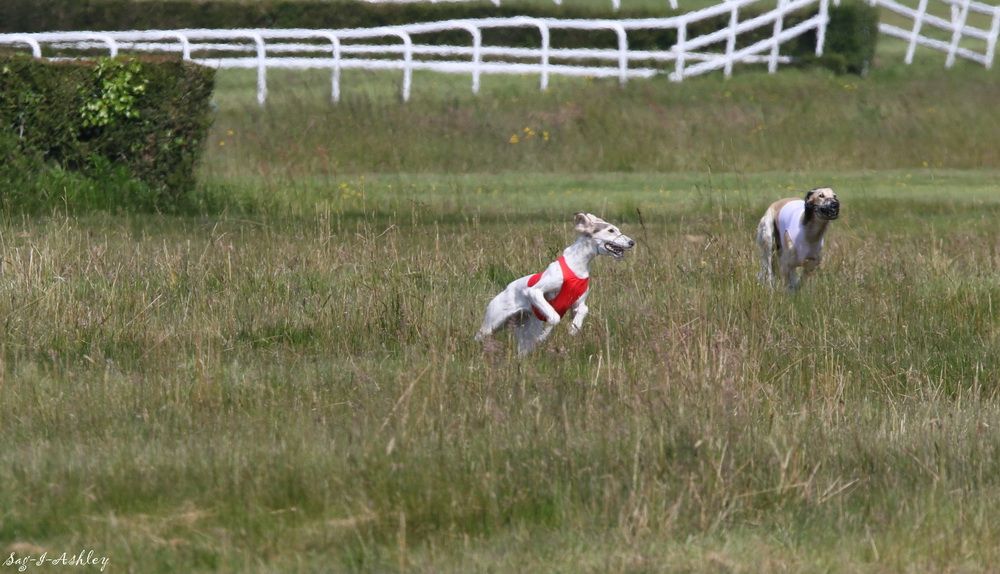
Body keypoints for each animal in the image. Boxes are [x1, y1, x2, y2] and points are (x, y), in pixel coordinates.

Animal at [474, 213, 632, 356]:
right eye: (611, 230)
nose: (632, 242)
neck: (577, 265)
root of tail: (505, 290)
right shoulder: (535, 292)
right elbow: (554, 318)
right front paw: (543, 336)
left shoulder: (577, 303)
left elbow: (583, 309)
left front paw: (574, 328)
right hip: (492, 324)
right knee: (478, 336)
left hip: (525, 333)